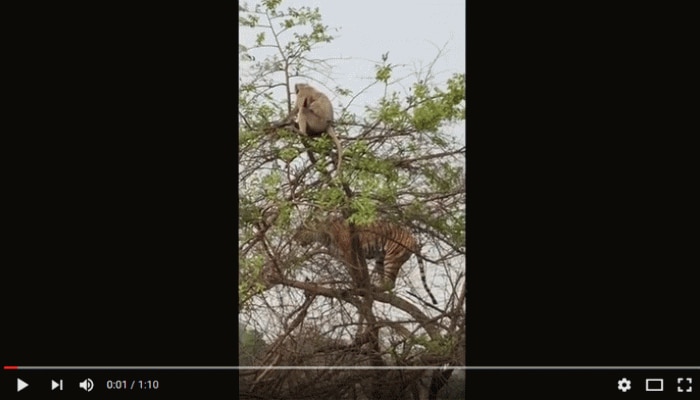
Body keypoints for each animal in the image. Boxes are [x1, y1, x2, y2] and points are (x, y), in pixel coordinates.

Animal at [292, 217, 438, 304]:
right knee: (385, 279)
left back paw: (374, 288)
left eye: (301, 229)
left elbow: (356, 270)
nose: (294, 238)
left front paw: (358, 285)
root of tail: (414, 239)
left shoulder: (350, 253)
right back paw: (374, 287)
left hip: (392, 257)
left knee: (390, 283)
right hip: (381, 257)